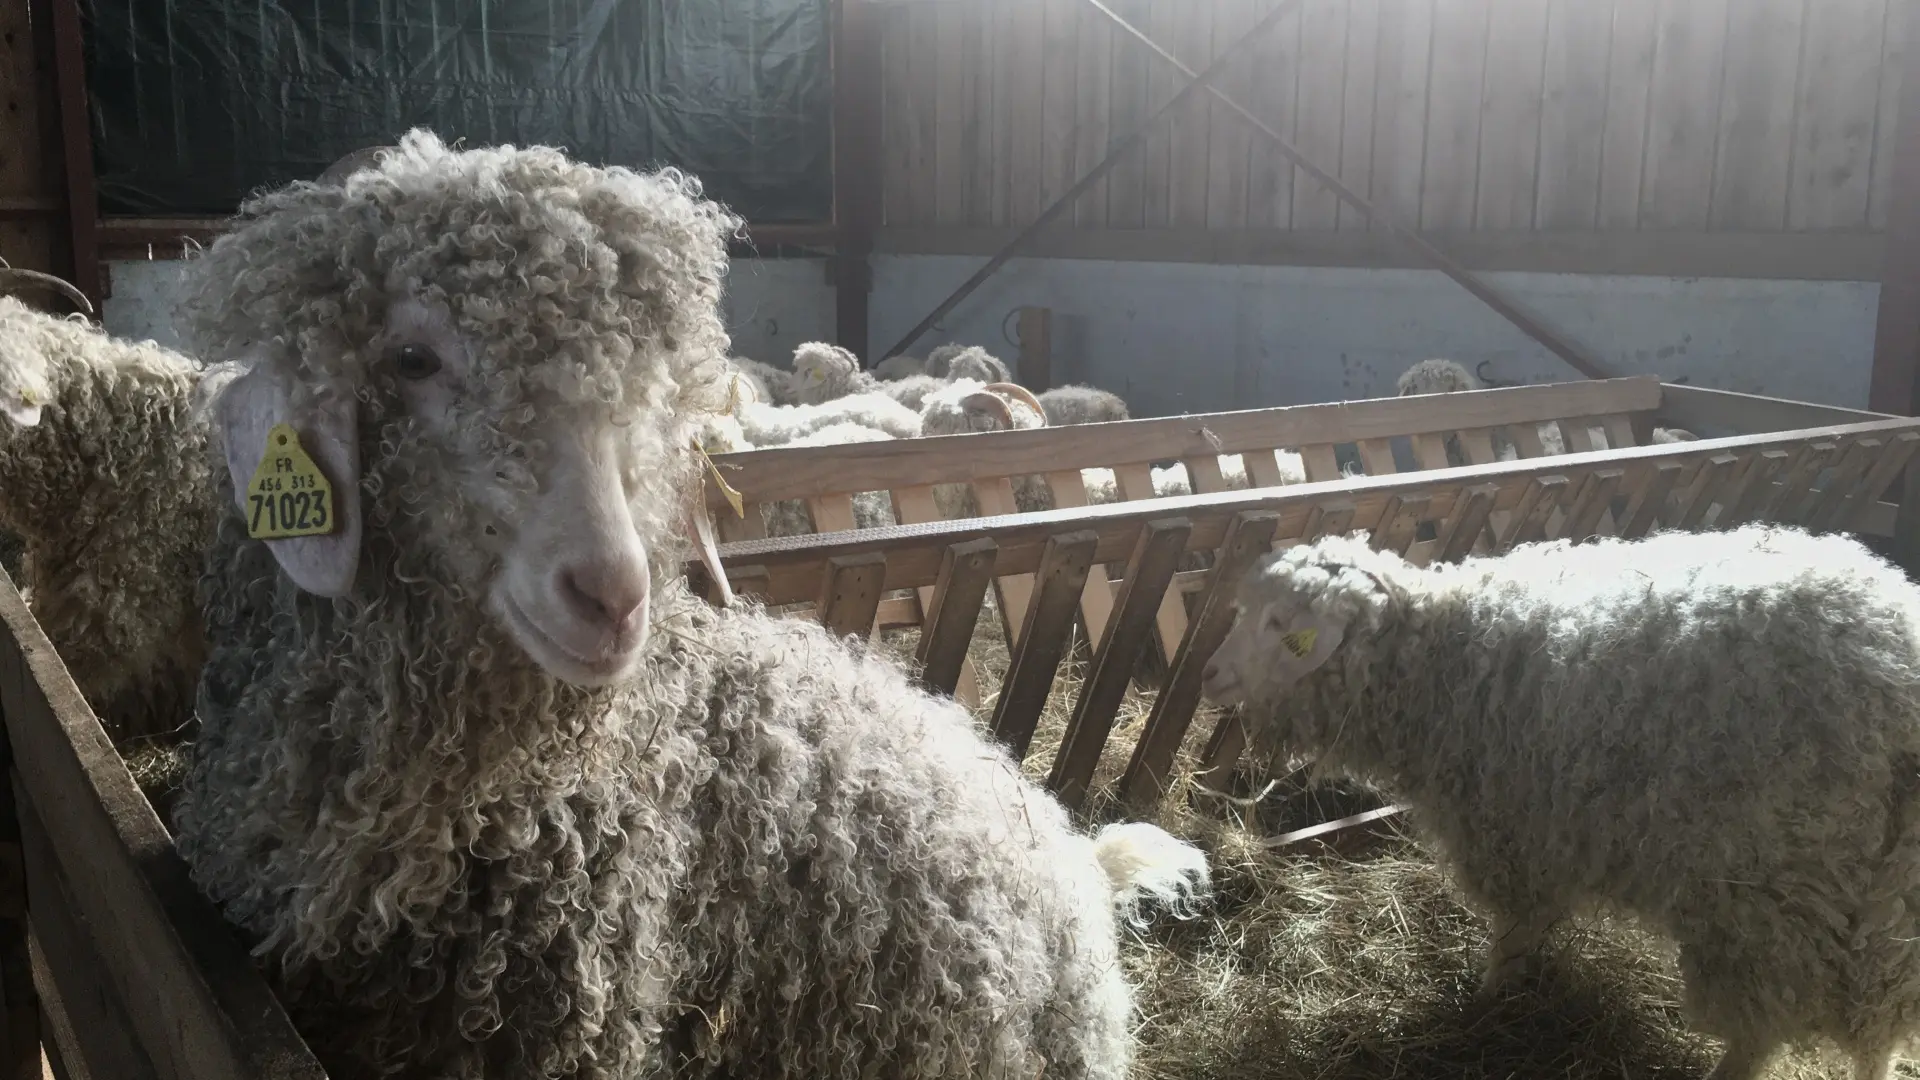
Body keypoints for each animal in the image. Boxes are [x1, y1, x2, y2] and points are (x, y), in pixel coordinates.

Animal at [1205, 522, 1920, 1076]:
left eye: (1279, 623)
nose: (1213, 674)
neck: (1449, 666)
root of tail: (1897, 674)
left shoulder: (1521, 832)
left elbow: (1515, 933)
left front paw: (1489, 1004)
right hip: (1890, 913)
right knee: (1879, 1029)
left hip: (1769, 901)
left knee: (1760, 1026)